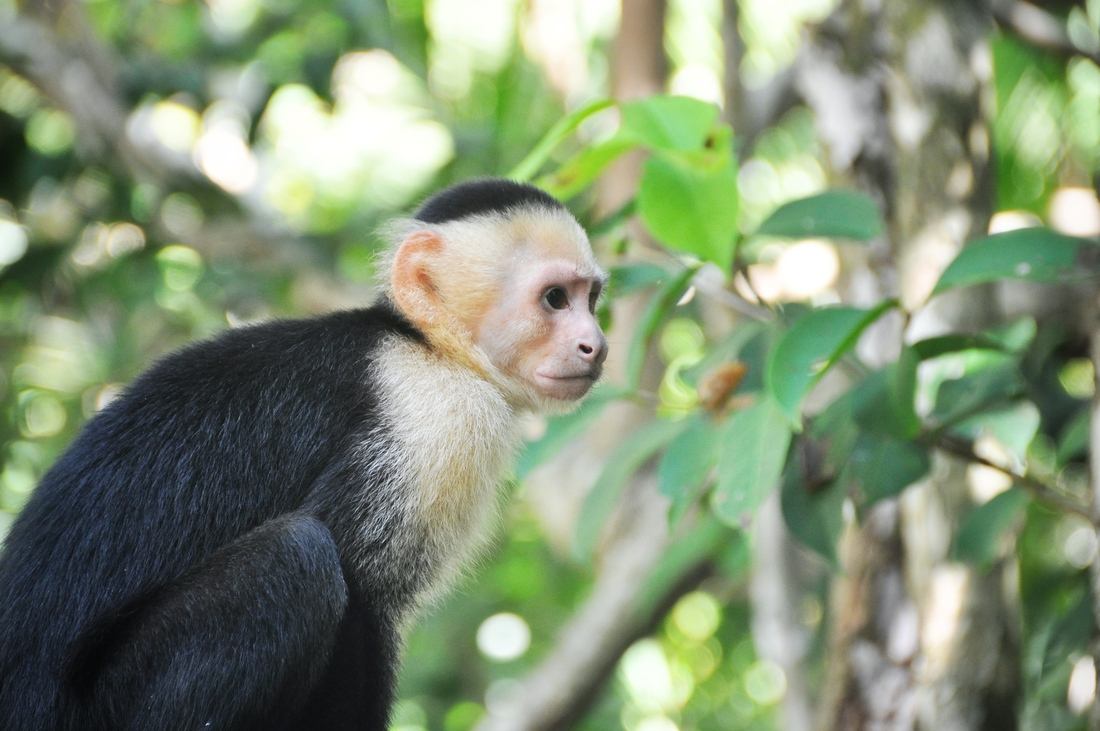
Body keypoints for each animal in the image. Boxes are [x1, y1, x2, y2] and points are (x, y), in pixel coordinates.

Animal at [0, 178, 608, 730]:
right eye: (555, 299)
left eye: (591, 300)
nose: (597, 346)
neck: (425, 344)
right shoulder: (431, 415)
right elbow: (363, 593)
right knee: (299, 556)